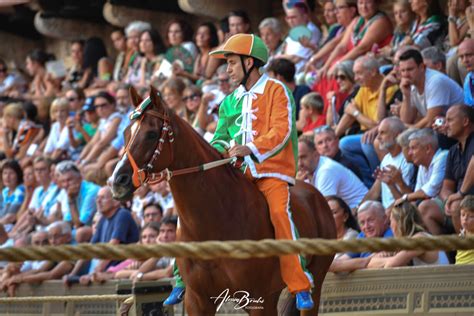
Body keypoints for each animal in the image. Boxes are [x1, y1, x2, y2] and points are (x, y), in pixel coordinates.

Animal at [111, 85, 336, 314]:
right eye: (126, 133)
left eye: (151, 133)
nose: (118, 181)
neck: (219, 219)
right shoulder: (198, 300)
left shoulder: (260, 298)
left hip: (314, 282)